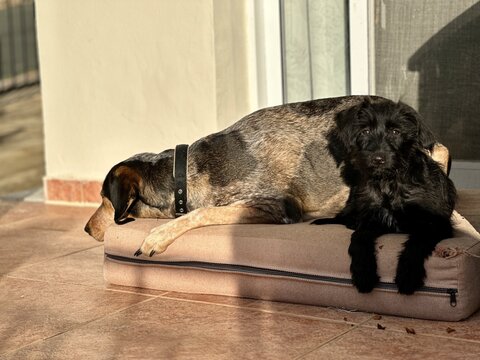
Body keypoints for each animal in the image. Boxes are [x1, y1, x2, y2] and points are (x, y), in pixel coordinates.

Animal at [85, 95, 446, 256]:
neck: (184, 176)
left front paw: (157, 236)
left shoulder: (276, 205)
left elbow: (203, 213)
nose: (86, 229)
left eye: (104, 199)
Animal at [314, 97, 456, 296]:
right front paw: (363, 273)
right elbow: (357, 239)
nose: (378, 159)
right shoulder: (371, 221)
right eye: (365, 131)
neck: (388, 184)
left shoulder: (435, 224)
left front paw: (408, 275)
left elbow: (416, 243)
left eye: (395, 132)